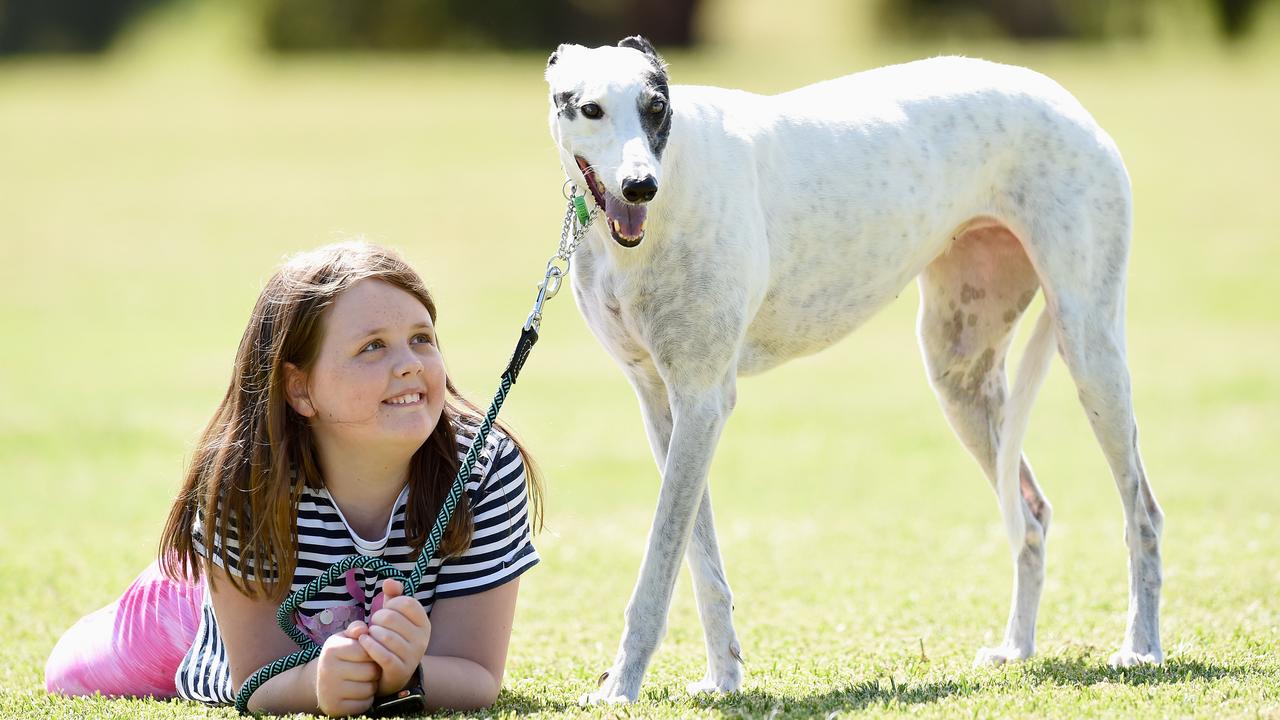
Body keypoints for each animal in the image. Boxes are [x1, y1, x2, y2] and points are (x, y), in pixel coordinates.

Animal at [545, 35, 1167, 702]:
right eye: (590, 109)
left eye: (657, 107)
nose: (639, 187)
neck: (676, 175)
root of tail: (1063, 98)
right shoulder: (665, 403)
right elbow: (697, 555)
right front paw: (723, 678)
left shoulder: (704, 398)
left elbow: (660, 560)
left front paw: (619, 687)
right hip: (960, 371)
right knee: (1030, 514)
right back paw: (1017, 648)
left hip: (1091, 347)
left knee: (1142, 513)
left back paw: (1141, 647)